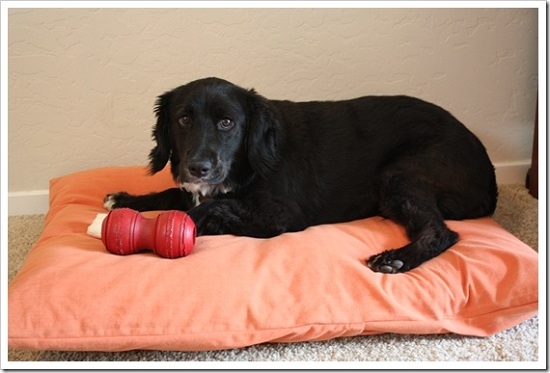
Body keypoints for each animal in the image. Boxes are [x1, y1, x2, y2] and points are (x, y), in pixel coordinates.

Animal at [106, 76, 500, 274]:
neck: (245, 165)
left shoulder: (282, 215)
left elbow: (207, 209)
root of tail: (489, 174)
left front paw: (173, 226)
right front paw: (125, 200)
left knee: (441, 233)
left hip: (400, 175)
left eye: (227, 122)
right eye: (184, 119)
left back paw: (397, 258)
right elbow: (174, 194)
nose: (198, 167)